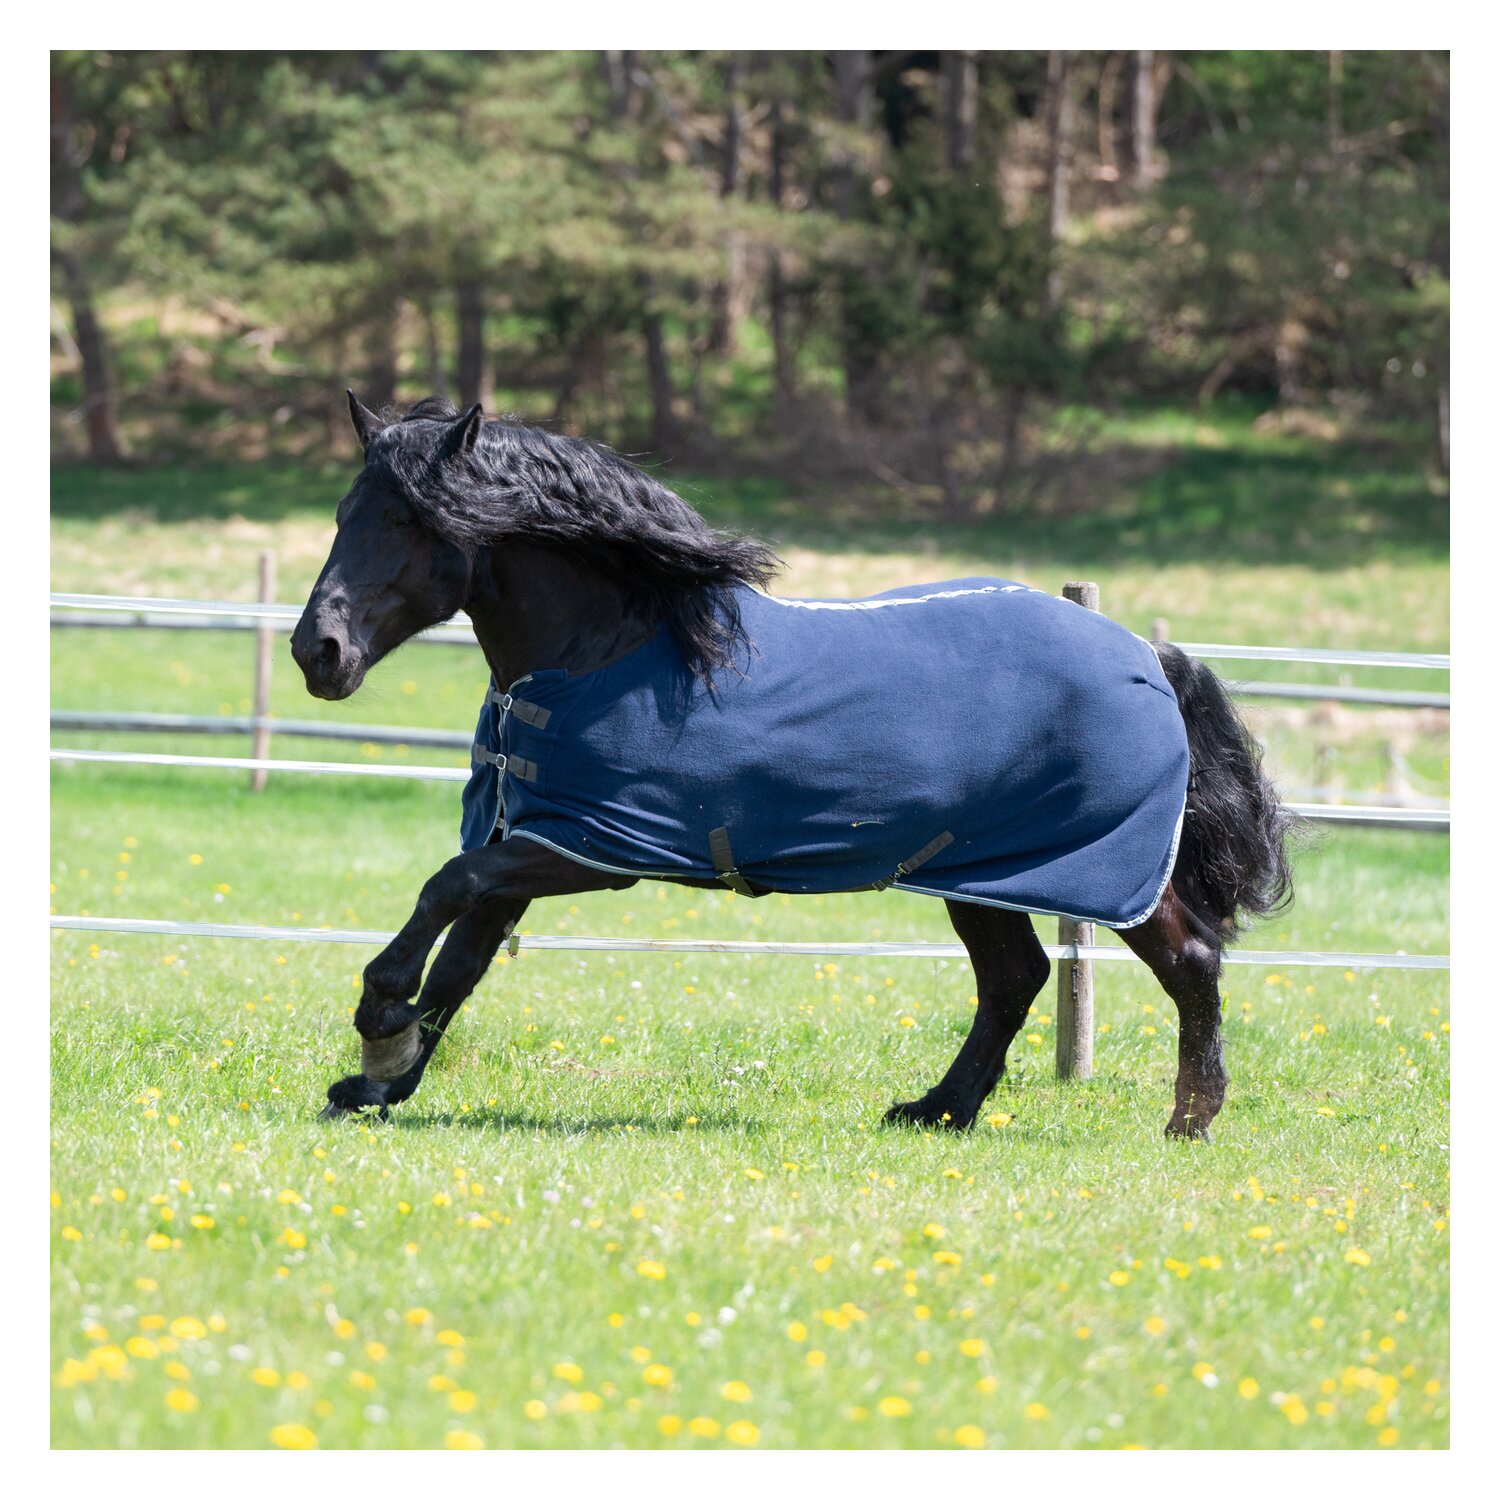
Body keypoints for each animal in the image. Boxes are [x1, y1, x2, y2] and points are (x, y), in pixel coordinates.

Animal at [291, 393, 1294, 1140]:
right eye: (342, 515)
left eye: (410, 522)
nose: (317, 651)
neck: (611, 650)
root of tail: (1145, 654)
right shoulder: (536, 841)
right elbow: (461, 960)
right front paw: (379, 1084)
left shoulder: (591, 850)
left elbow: (444, 892)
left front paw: (379, 1021)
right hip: (979, 868)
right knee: (1015, 979)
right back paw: (938, 1110)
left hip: (1093, 868)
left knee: (1187, 958)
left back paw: (1190, 1119)